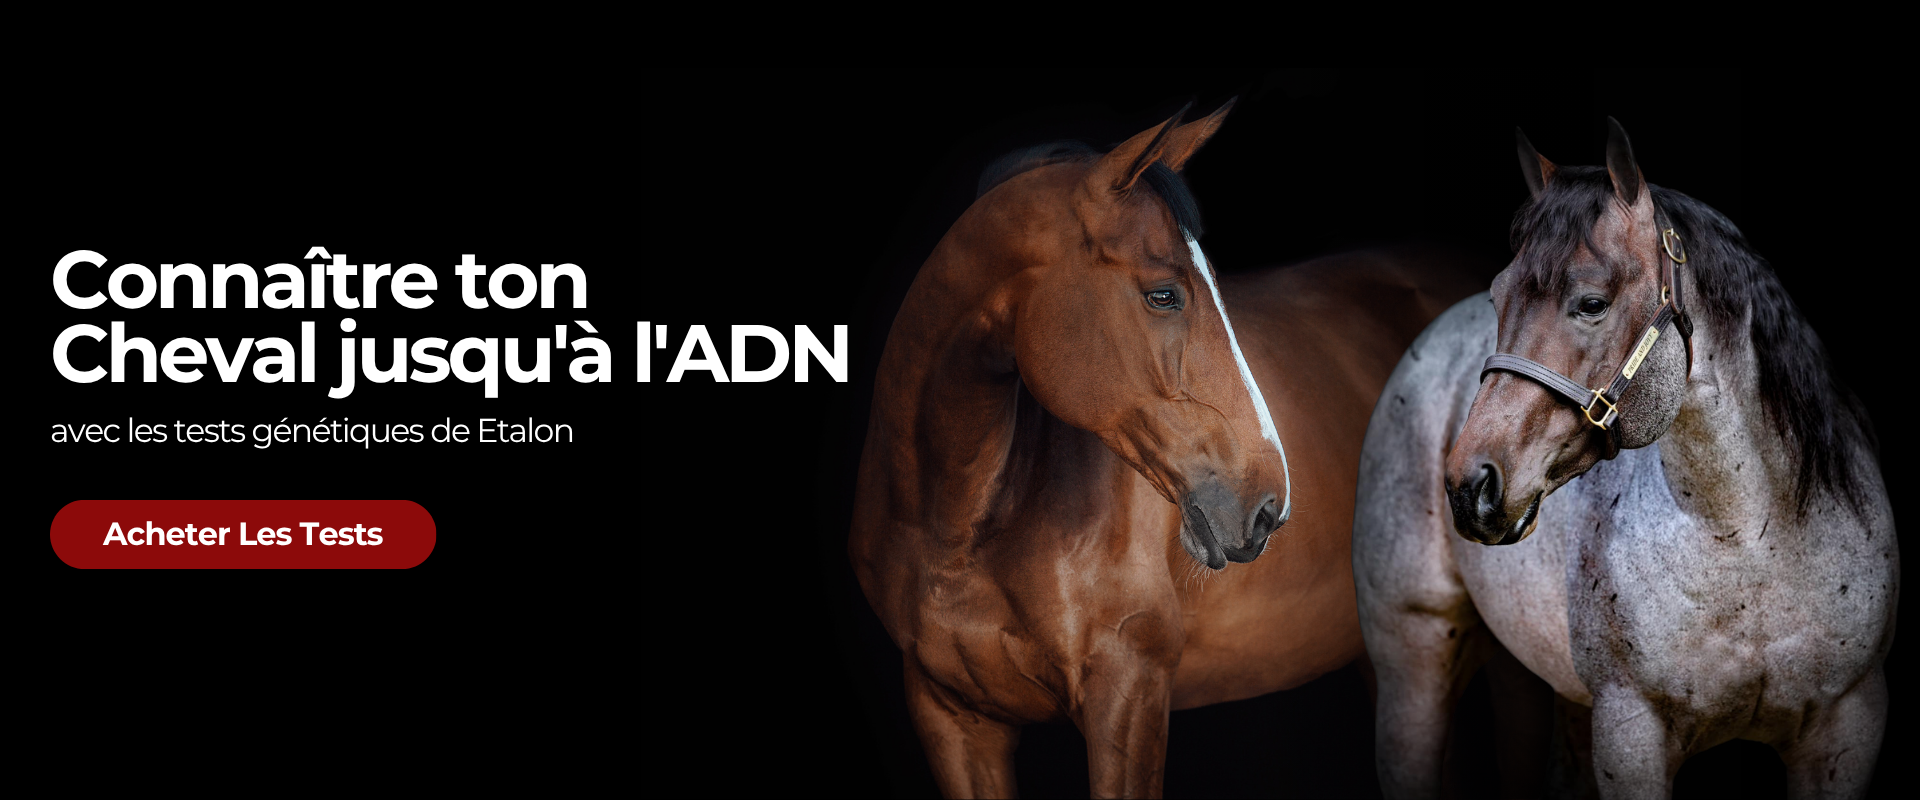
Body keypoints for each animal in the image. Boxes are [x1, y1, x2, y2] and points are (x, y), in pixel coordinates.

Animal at [1354, 118, 1897, 799]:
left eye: (1591, 302)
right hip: (1415, 661)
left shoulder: (1847, 728)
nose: (1468, 486)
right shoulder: (1631, 732)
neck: (1750, 541)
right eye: (1499, 297)